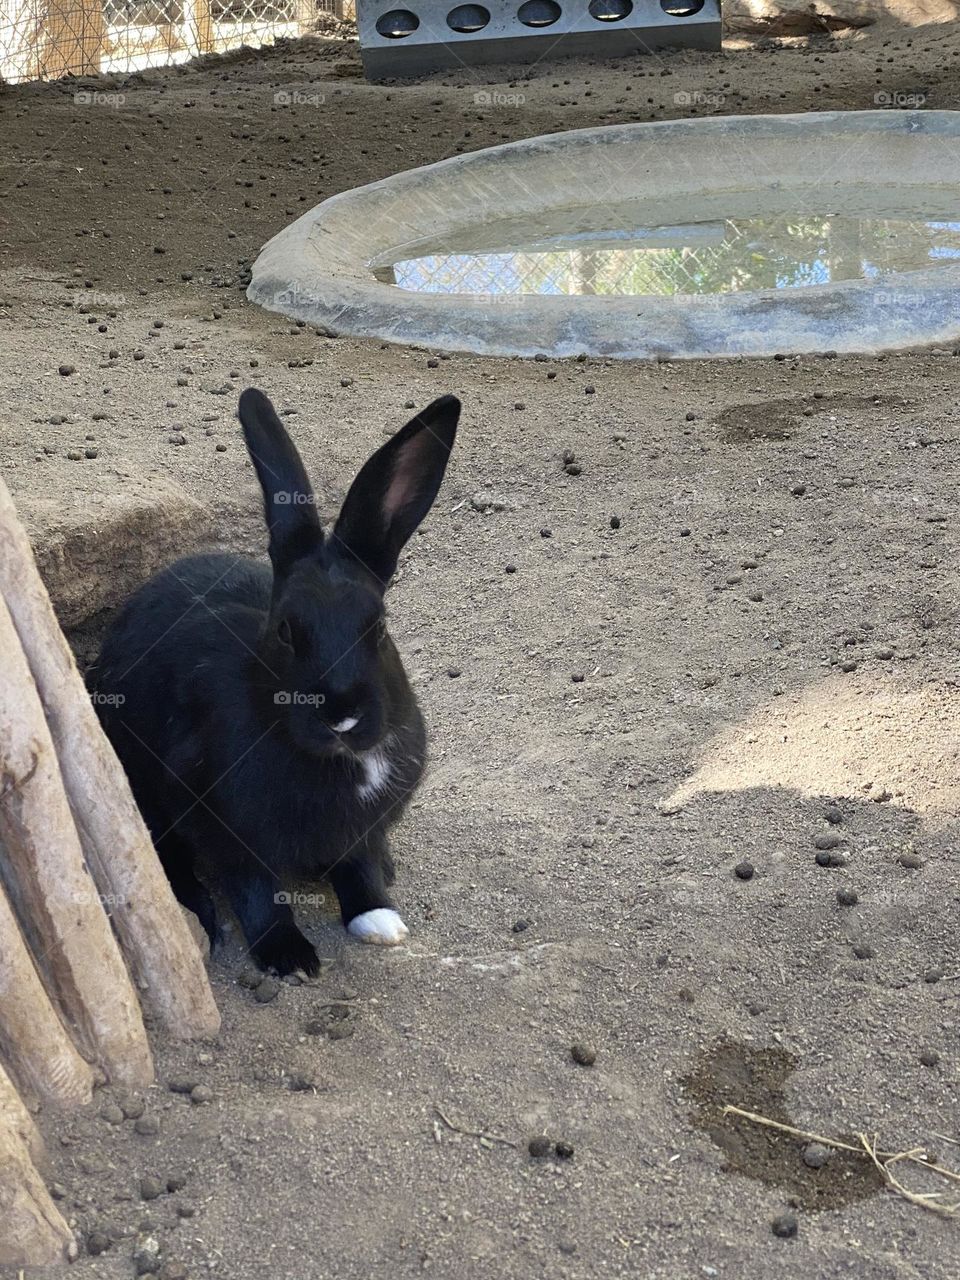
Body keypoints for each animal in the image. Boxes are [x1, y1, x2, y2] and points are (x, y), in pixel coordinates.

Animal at [89, 387, 460, 977]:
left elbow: (359, 868)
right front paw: (289, 957)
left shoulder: (361, 831)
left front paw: (380, 921)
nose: (341, 714)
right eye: (286, 630)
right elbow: (255, 889)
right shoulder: (223, 823)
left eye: (378, 626)